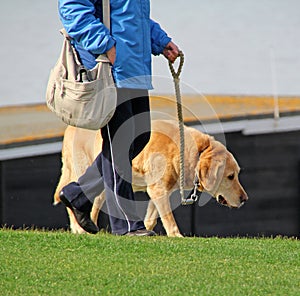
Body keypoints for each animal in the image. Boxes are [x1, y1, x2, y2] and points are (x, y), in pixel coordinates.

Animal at [54, 119, 248, 237]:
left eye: (236, 174)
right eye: (230, 176)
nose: (245, 199)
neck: (192, 152)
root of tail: (71, 127)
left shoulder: (160, 191)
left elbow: (152, 218)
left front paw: (144, 232)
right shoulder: (158, 189)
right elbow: (168, 217)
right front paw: (176, 235)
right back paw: (79, 228)